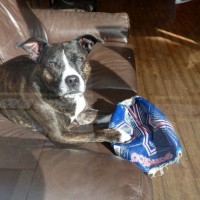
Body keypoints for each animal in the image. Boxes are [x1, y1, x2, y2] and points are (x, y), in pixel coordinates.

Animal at [0, 35, 131, 146]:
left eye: (80, 59)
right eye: (51, 63)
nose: (72, 79)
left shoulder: (84, 114)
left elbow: (106, 113)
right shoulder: (59, 134)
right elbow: (91, 134)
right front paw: (117, 134)